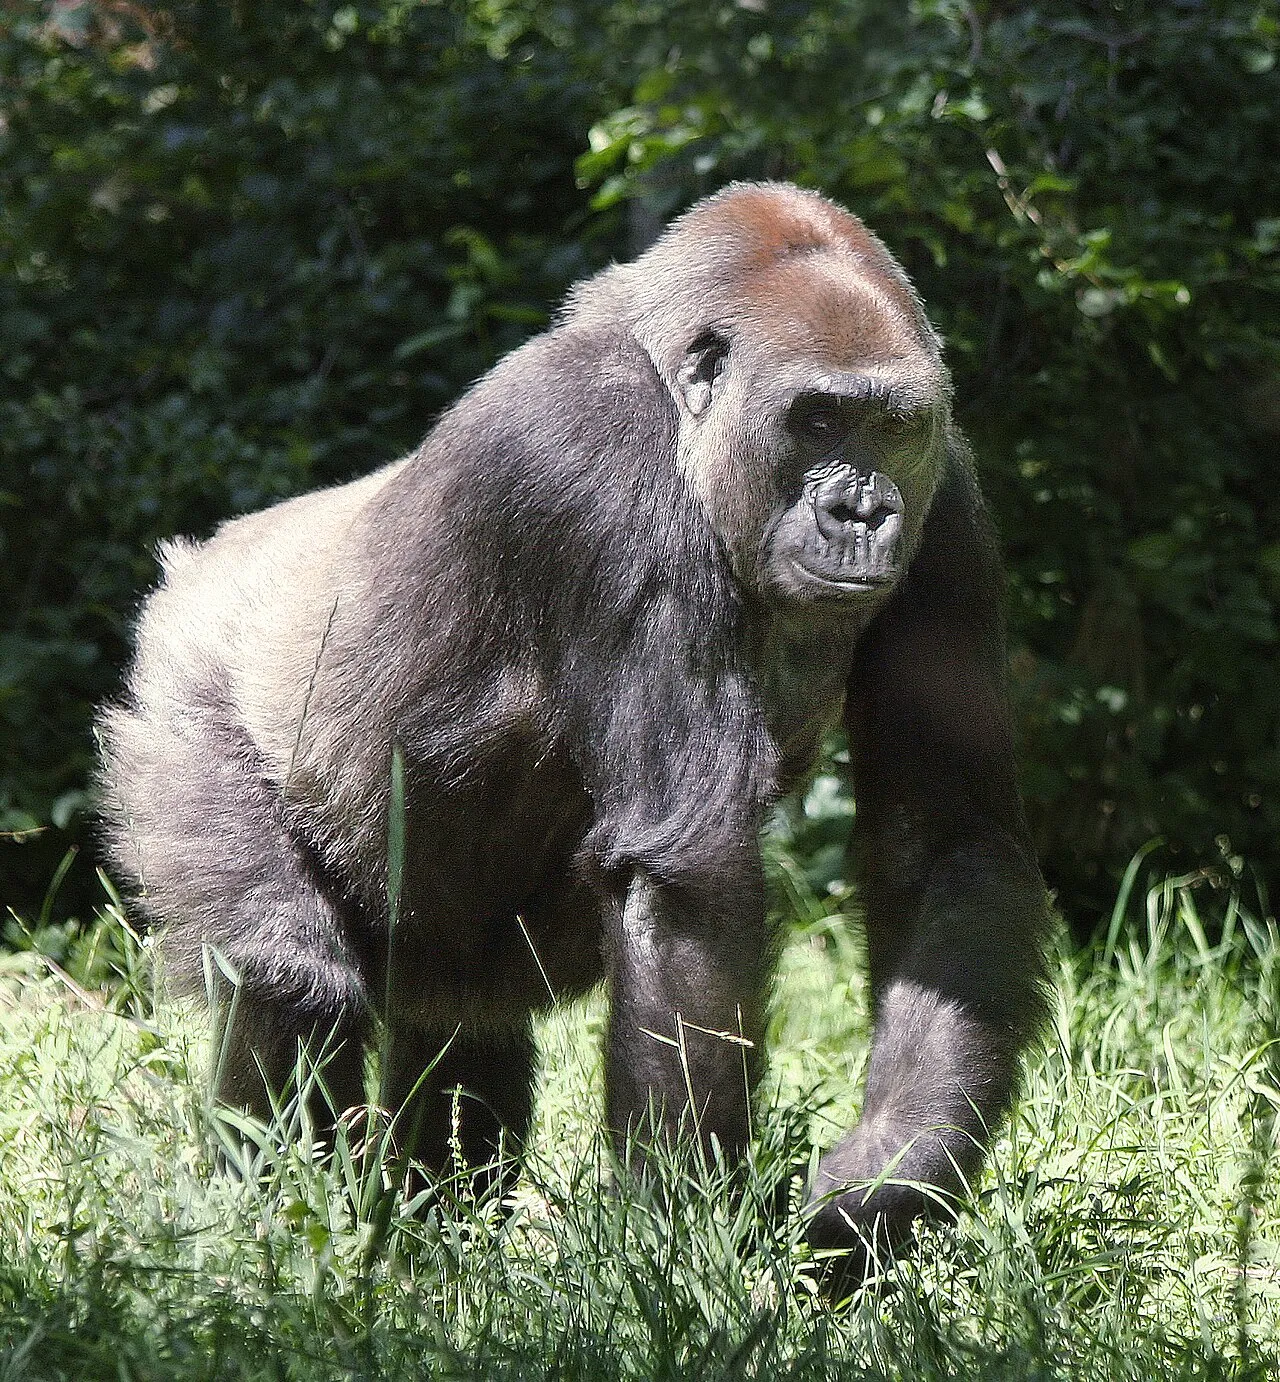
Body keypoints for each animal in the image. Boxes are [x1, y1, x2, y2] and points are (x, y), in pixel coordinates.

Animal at [97, 181, 1052, 1281]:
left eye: (888, 425)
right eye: (817, 419)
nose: (861, 512)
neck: (674, 396)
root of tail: (199, 560)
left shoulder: (949, 508)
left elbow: (945, 842)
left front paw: (885, 1178)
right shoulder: (598, 452)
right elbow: (687, 883)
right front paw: (686, 1238)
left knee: (460, 1019)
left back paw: (433, 1235)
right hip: (185, 685)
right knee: (287, 973)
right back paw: (279, 1235)